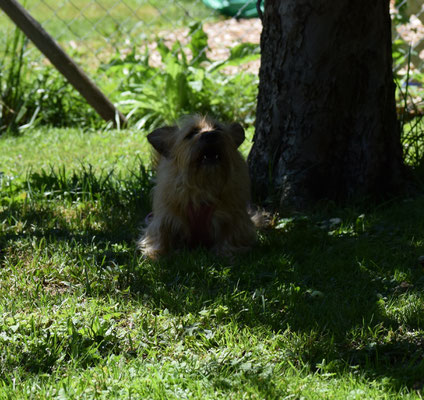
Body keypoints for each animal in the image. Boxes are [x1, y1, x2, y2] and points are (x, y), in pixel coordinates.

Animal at [139, 115, 256, 260]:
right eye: (191, 133)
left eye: (218, 128)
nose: (210, 134)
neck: (203, 185)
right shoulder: (165, 216)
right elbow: (161, 233)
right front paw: (157, 254)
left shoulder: (234, 217)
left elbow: (231, 234)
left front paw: (227, 252)